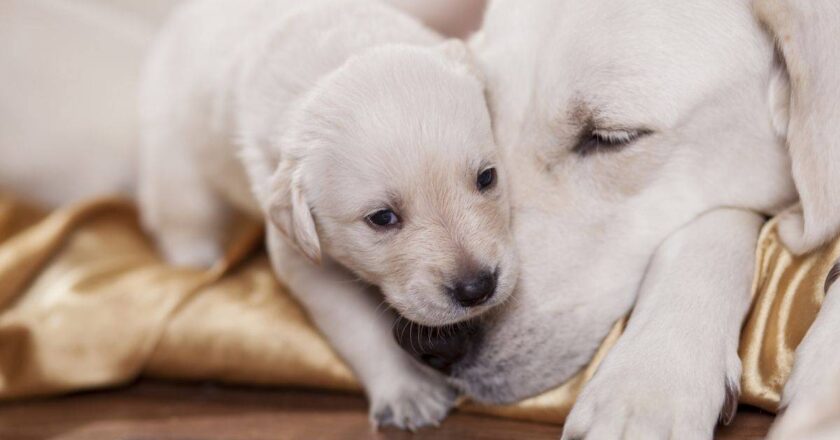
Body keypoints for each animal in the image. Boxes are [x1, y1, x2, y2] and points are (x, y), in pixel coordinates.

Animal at [139, 0, 520, 428]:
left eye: (487, 177)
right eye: (382, 218)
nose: (477, 288)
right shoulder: (300, 254)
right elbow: (359, 327)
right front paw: (407, 391)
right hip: (176, 155)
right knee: (179, 213)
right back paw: (197, 257)